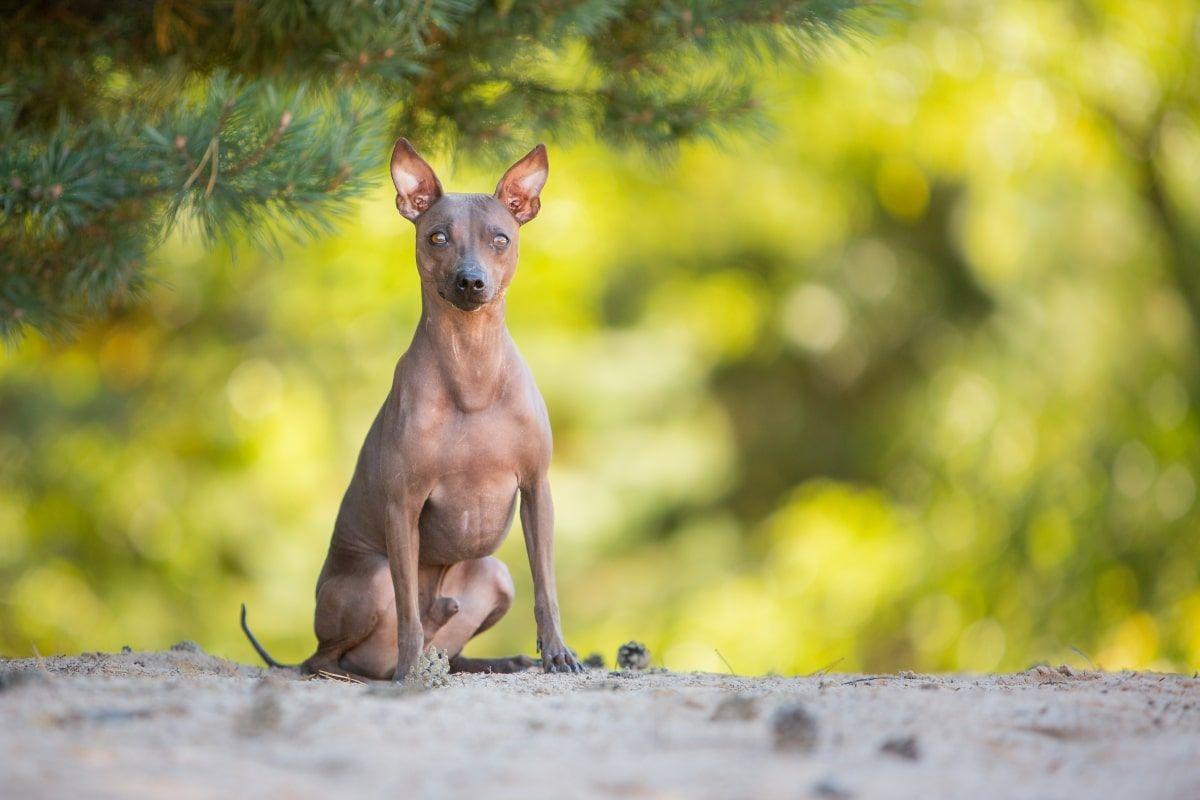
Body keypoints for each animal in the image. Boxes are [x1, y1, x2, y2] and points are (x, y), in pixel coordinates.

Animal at [240, 140, 580, 681]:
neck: (472, 372)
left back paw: (493, 658)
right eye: (437, 237)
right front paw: (408, 670)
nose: (470, 281)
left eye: (500, 239)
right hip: (371, 579)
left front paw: (557, 653)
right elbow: (406, 610)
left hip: (496, 573)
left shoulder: (536, 489)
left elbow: (546, 588)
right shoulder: (402, 505)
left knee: (453, 651)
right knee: (329, 656)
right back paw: (392, 666)